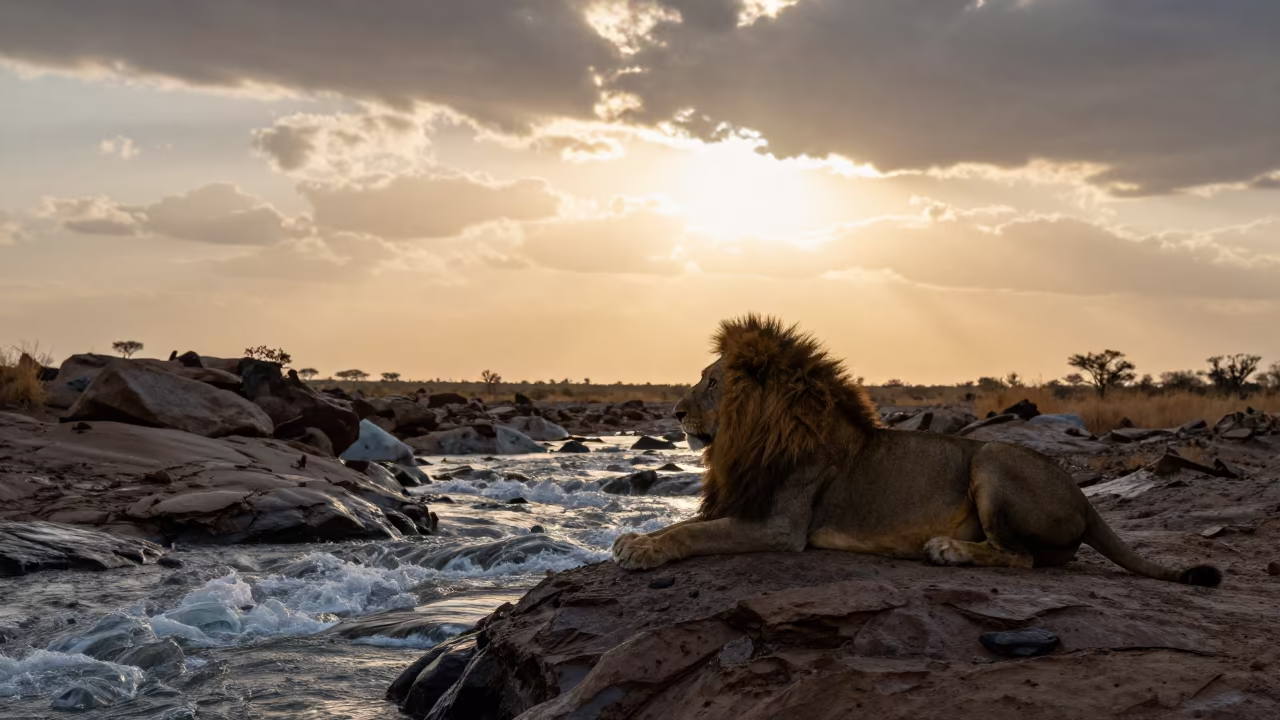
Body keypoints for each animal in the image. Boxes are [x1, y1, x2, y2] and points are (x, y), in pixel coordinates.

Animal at [612, 314, 1221, 587]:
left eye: (712, 383)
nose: (675, 412)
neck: (755, 435)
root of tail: (1087, 499)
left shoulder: (780, 527)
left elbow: (696, 534)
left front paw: (643, 550)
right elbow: (682, 524)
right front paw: (634, 539)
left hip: (991, 459)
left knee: (1020, 557)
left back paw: (946, 550)